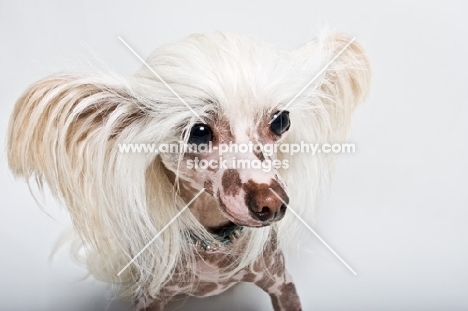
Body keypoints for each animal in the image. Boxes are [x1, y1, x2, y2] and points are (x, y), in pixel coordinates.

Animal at [6, 31, 370, 310]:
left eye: (281, 121)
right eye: (198, 132)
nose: (272, 203)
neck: (216, 245)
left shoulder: (283, 284)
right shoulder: (150, 297)